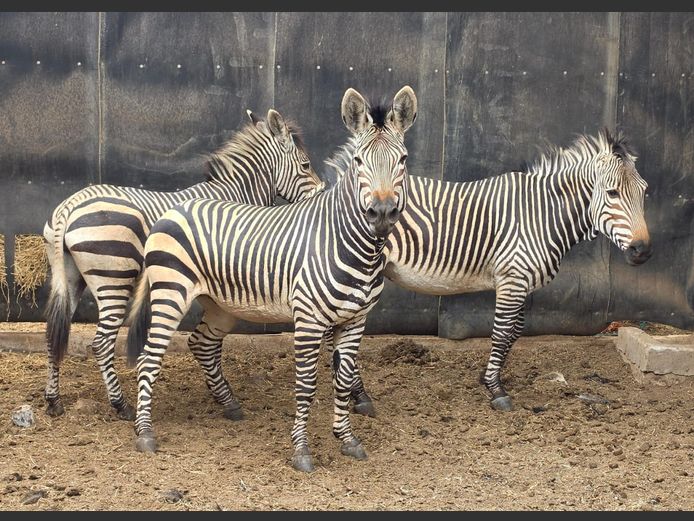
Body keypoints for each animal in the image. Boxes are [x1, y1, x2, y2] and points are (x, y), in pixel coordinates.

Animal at [43, 108, 324, 421]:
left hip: (70, 278)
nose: (323, 193)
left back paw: (54, 401)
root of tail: (70, 205)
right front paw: (221, 394)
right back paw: (121, 405)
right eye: (306, 164)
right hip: (114, 277)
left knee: (54, 334)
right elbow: (210, 339)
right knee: (102, 342)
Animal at [125, 86, 418, 472]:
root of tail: (173, 209)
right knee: (149, 358)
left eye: (402, 160)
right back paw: (144, 433)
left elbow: (341, 381)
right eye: (357, 161)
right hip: (170, 293)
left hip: (220, 304)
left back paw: (229, 406)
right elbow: (306, 386)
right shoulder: (309, 319)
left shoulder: (356, 320)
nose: (382, 213)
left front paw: (347, 439)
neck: (352, 244)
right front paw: (302, 451)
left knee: (201, 343)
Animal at [324, 129, 651, 413]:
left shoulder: (521, 282)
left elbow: (515, 331)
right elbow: (502, 332)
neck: (541, 215)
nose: (643, 251)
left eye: (644, 192)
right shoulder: (512, 280)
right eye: (612, 193)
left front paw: (487, 377)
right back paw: (358, 394)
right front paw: (496, 389)